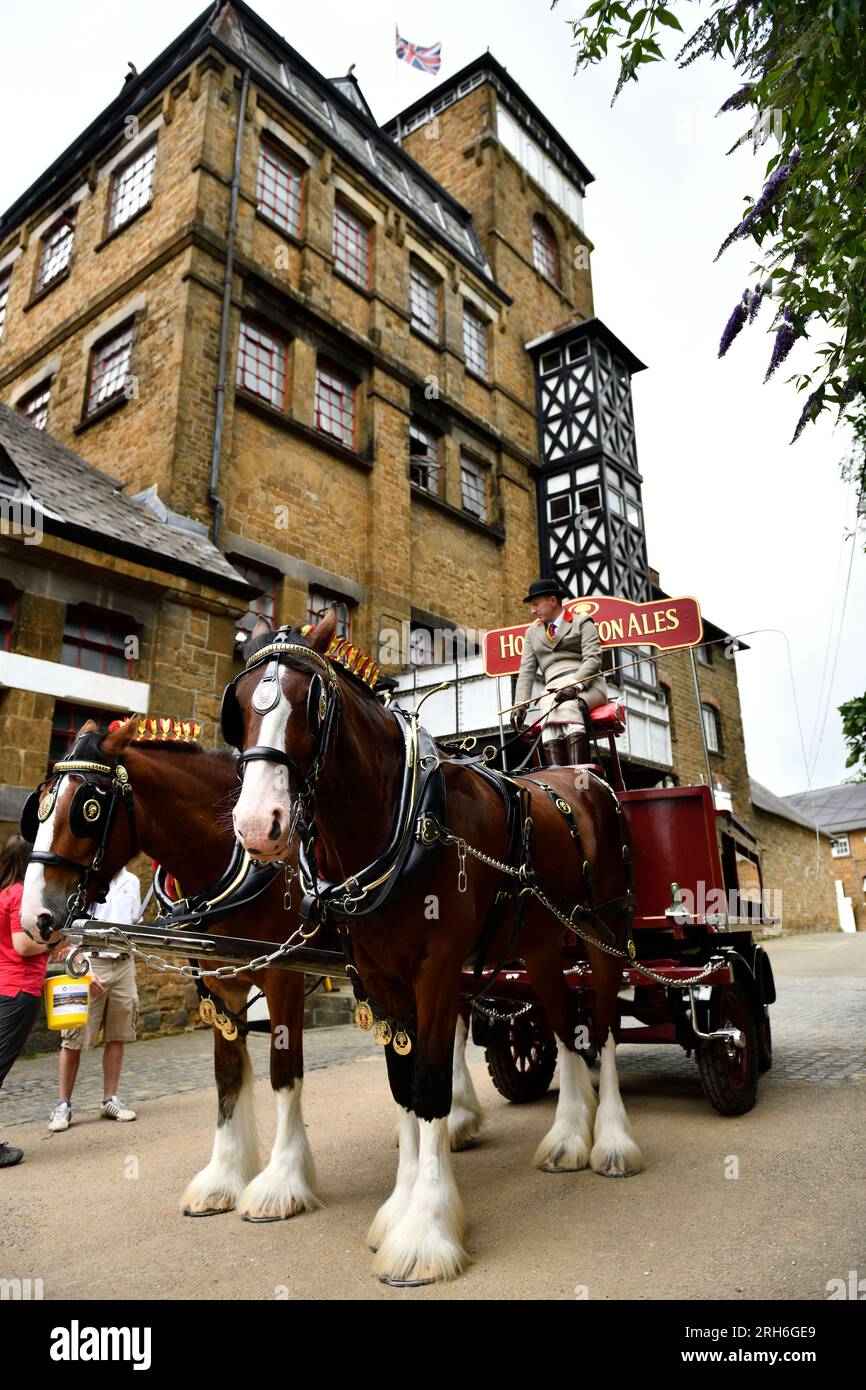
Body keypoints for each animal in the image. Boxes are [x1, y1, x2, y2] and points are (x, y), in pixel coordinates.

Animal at [19, 719, 482, 1221]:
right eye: (38, 810)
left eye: (88, 808)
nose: (35, 918)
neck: (236, 863)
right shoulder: (220, 983)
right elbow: (227, 1076)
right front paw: (223, 1178)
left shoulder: (283, 977)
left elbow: (284, 1073)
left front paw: (281, 1184)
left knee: (457, 1026)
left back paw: (459, 1117)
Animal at [229, 612, 643, 1285]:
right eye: (238, 705)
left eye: (307, 704)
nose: (255, 825)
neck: (401, 821)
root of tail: (586, 778)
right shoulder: (379, 979)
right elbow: (402, 1088)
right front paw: (399, 1211)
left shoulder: (438, 971)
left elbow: (429, 1087)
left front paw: (426, 1233)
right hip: (541, 946)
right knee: (563, 1026)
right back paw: (567, 1138)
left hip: (604, 932)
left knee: (602, 1026)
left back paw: (610, 1141)